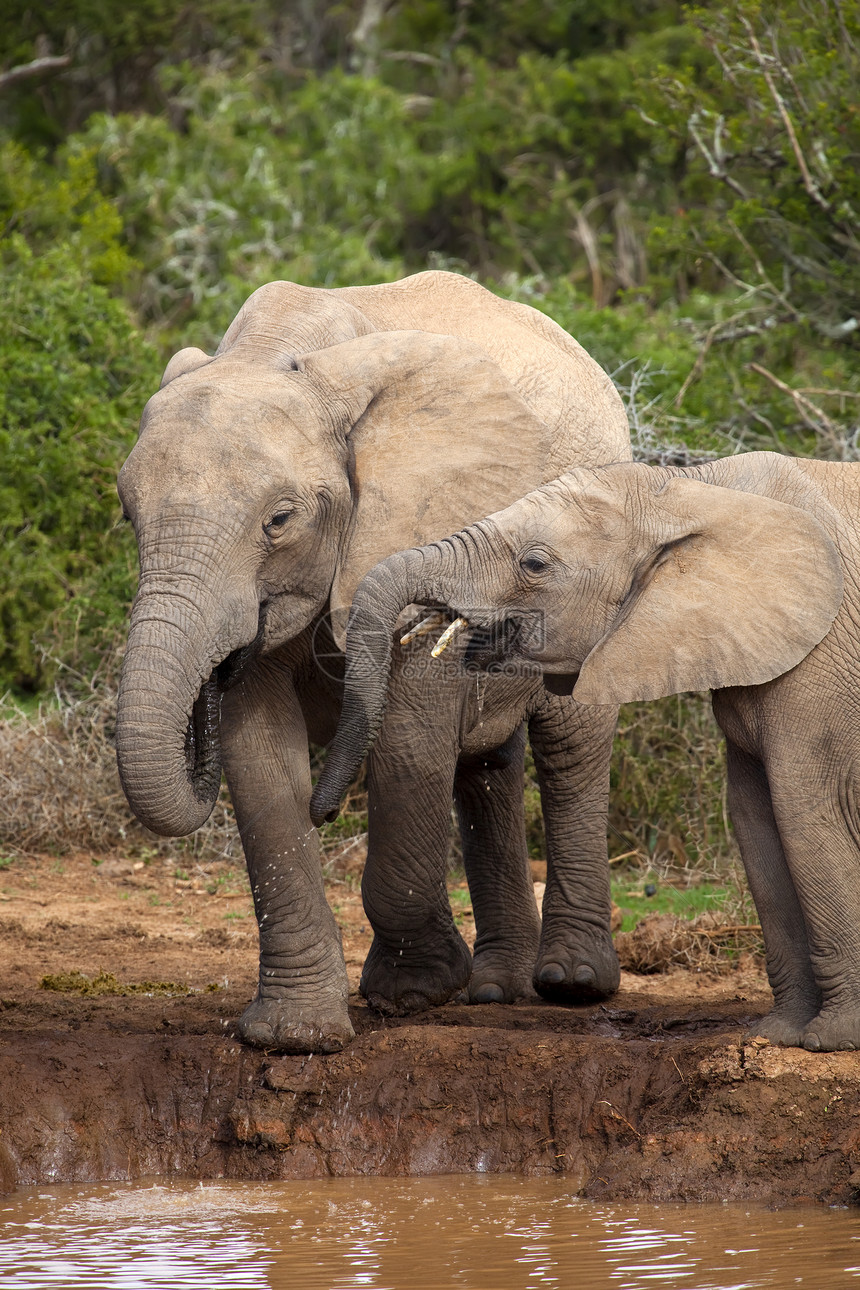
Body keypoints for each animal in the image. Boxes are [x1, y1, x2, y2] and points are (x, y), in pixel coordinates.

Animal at [114, 269, 629, 1047]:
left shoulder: (423, 521)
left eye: (279, 519)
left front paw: (414, 992)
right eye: (127, 512)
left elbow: (410, 735)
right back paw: (494, 990)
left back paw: (569, 985)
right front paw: (293, 1036)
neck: (282, 352)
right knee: (486, 767)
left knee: (570, 746)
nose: (328, 808)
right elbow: (260, 760)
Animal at [314, 448, 860, 1052]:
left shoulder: (821, 658)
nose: (324, 814)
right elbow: (754, 818)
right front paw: (778, 1035)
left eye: (534, 564)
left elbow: (805, 812)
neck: (691, 488)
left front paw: (831, 1040)